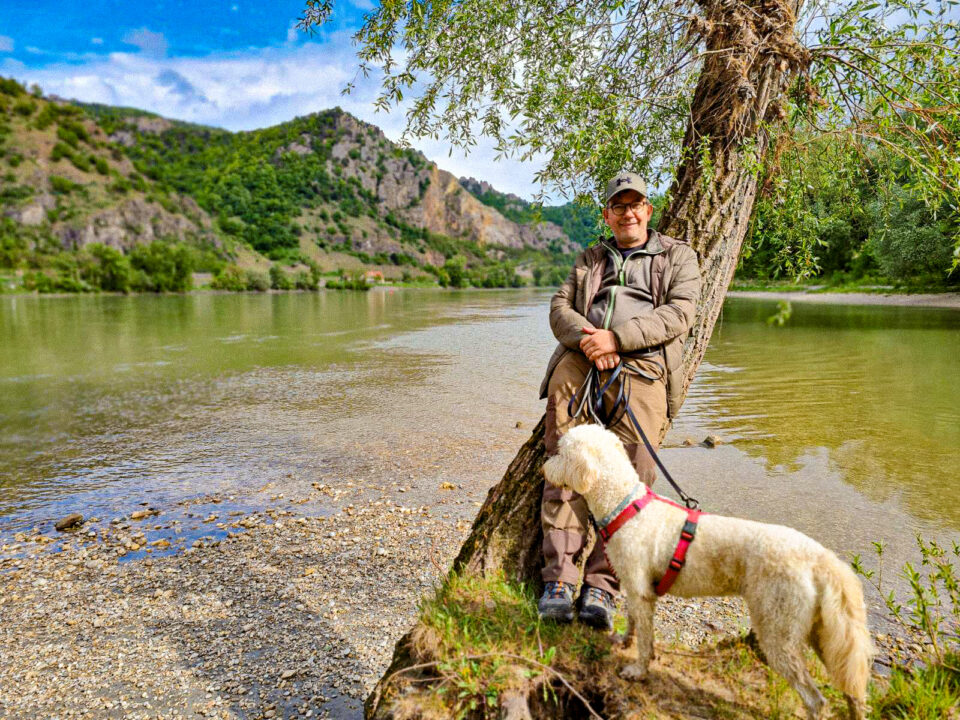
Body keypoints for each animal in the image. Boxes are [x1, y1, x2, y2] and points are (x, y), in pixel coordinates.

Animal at [544, 424, 872, 716]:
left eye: (560, 452)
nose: (544, 468)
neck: (625, 506)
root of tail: (820, 557)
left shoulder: (641, 593)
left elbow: (646, 638)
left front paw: (638, 669)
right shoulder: (637, 590)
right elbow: (634, 623)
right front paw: (624, 641)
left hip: (778, 630)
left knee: (816, 700)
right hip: (823, 634)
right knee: (853, 693)